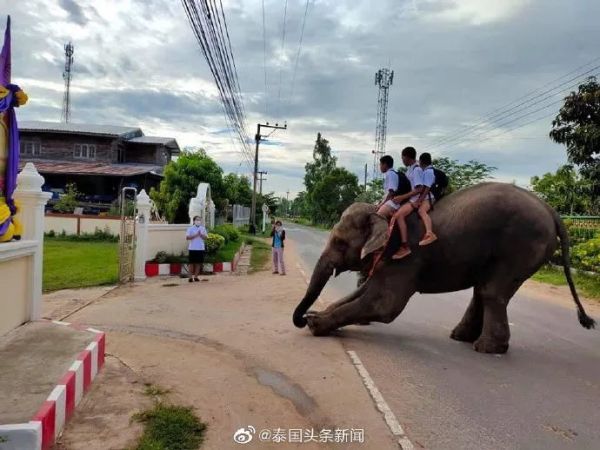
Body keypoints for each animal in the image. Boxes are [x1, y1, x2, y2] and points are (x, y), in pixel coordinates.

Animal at [292, 181, 596, 354]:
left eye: (340, 242)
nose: (302, 317)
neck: (384, 213)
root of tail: (552, 211)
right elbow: (363, 294)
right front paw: (319, 315)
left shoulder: (406, 257)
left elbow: (384, 304)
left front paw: (316, 324)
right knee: (485, 290)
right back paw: (461, 337)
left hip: (520, 246)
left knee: (492, 291)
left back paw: (486, 348)